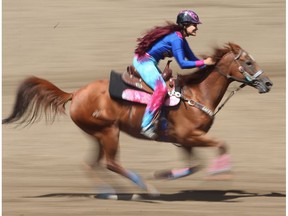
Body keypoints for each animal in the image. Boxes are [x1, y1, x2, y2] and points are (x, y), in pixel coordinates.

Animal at [2, 42, 272, 194]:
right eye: (248, 62)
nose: (269, 83)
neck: (196, 94)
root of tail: (75, 93)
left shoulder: (184, 140)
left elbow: (195, 164)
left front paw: (164, 174)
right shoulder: (190, 135)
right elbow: (221, 144)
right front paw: (221, 172)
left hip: (97, 135)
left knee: (92, 164)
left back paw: (110, 191)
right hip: (109, 132)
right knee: (110, 163)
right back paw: (143, 188)